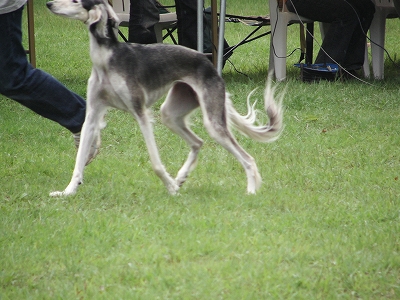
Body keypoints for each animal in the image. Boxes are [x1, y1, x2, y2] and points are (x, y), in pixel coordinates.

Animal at [46, 0, 284, 197]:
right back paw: (181, 178)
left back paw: (250, 190)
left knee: (248, 158)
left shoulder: (141, 113)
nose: (49, 4)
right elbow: (78, 161)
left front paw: (169, 187)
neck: (107, 57)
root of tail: (208, 62)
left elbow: (156, 163)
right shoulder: (93, 115)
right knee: (197, 142)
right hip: (170, 113)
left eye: (76, 0)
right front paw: (68, 191)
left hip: (212, 120)